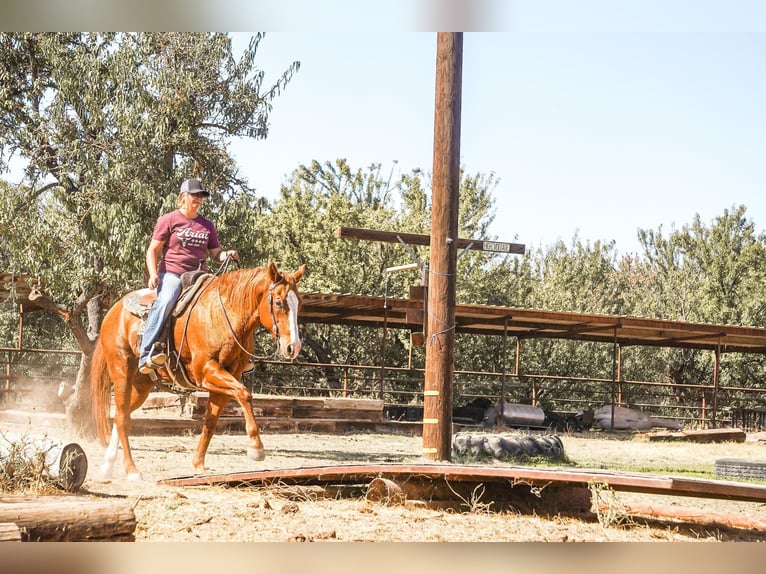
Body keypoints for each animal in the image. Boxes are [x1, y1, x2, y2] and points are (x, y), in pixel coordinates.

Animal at [90, 261, 306, 480]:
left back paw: (108, 465)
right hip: (122, 373)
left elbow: (210, 421)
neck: (224, 315)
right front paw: (256, 447)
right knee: (122, 418)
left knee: (122, 414)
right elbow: (244, 394)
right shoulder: (206, 372)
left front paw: (198, 465)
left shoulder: (226, 379)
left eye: (299, 304)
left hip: (142, 384)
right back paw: (131, 470)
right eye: (278, 302)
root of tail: (114, 311)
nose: (293, 347)